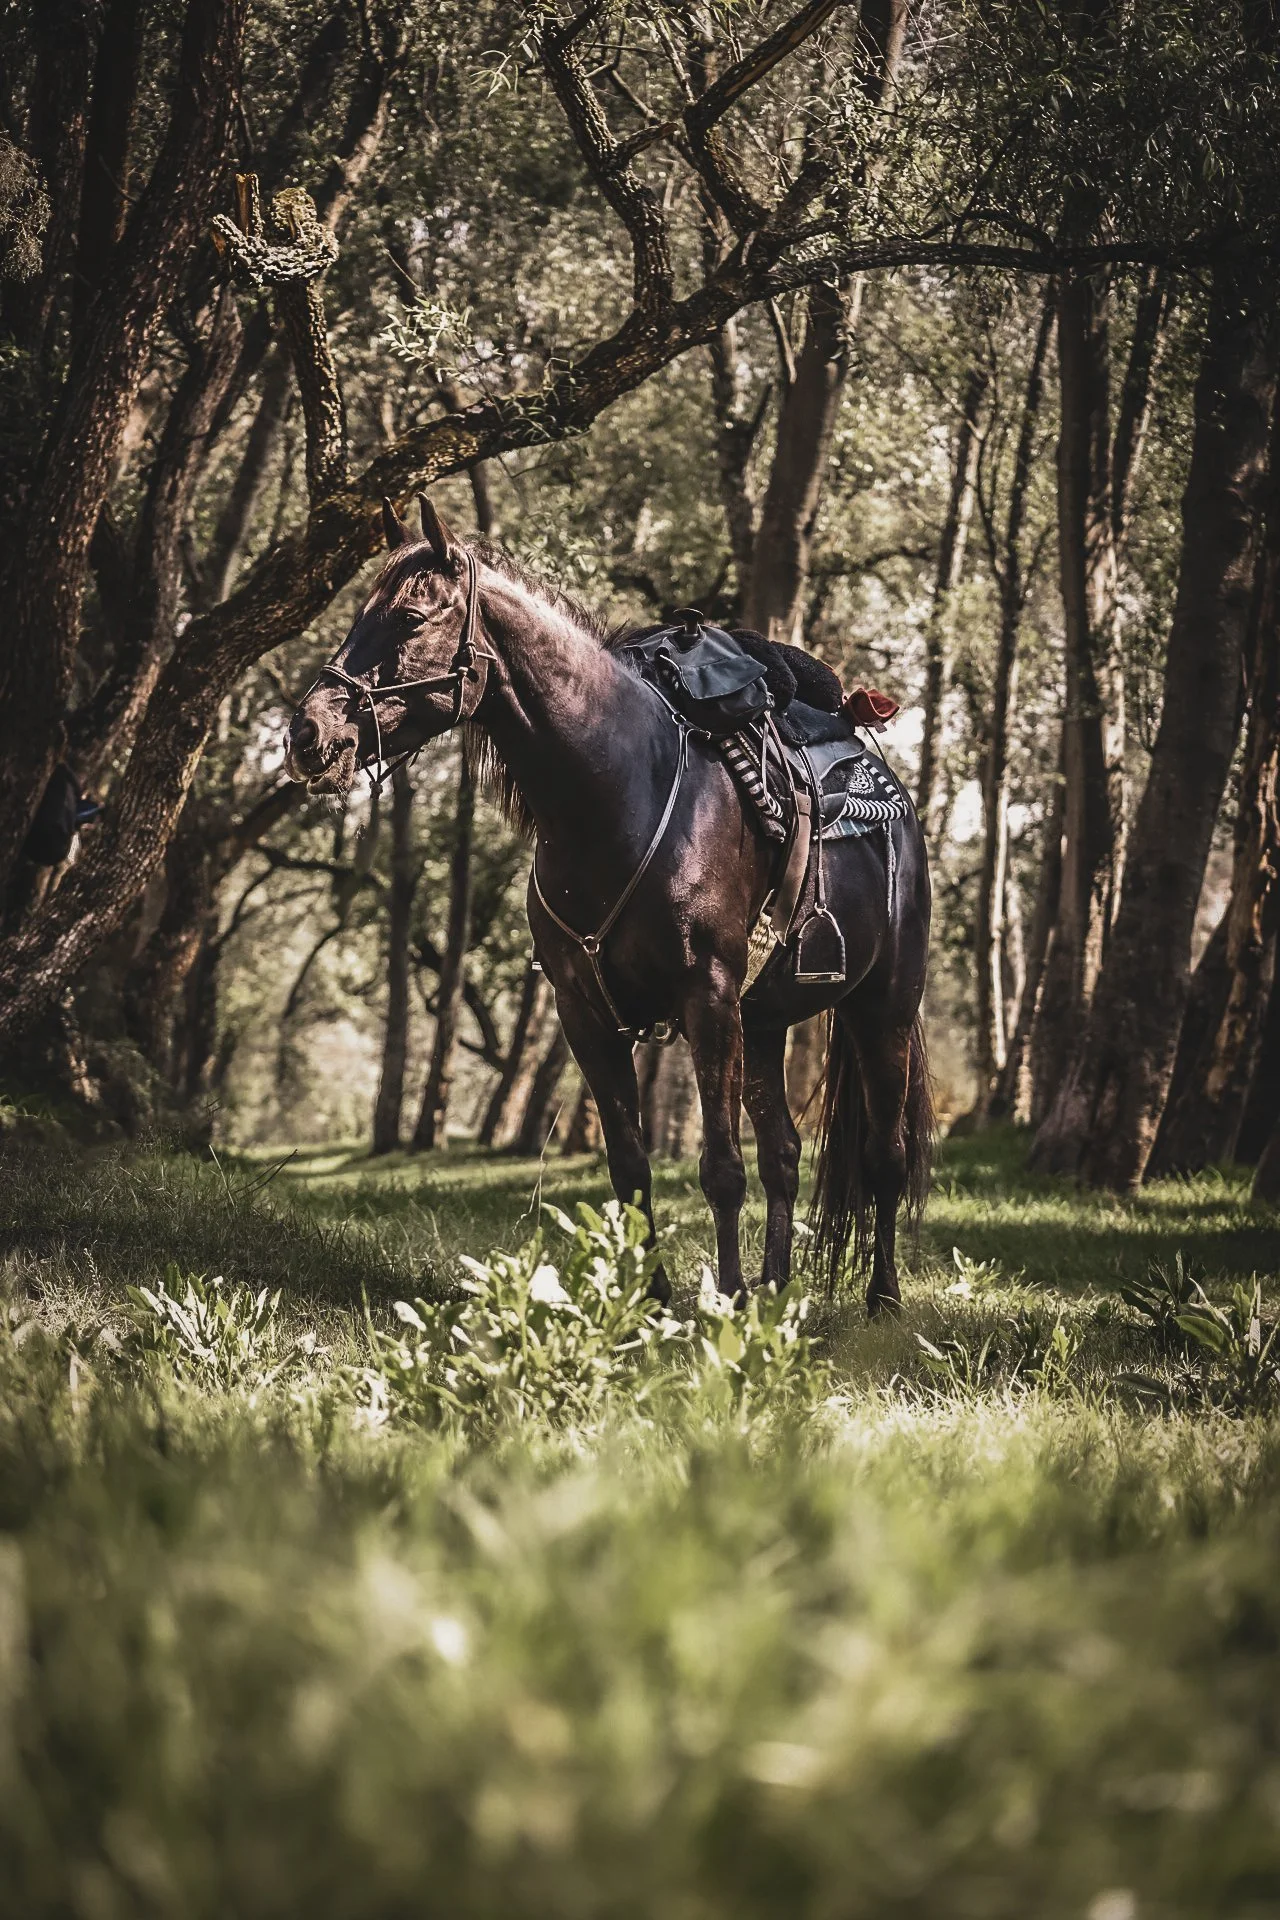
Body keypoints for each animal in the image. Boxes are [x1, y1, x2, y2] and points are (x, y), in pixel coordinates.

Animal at [284, 495, 933, 1313]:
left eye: (408, 617)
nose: (306, 733)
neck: (620, 795)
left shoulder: (706, 1000)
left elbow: (721, 1170)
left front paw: (719, 1303)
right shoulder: (587, 1015)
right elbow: (630, 1170)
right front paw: (650, 1302)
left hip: (880, 1012)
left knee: (884, 1155)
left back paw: (880, 1297)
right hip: (765, 1024)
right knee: (784, 1152)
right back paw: (774, 1293)